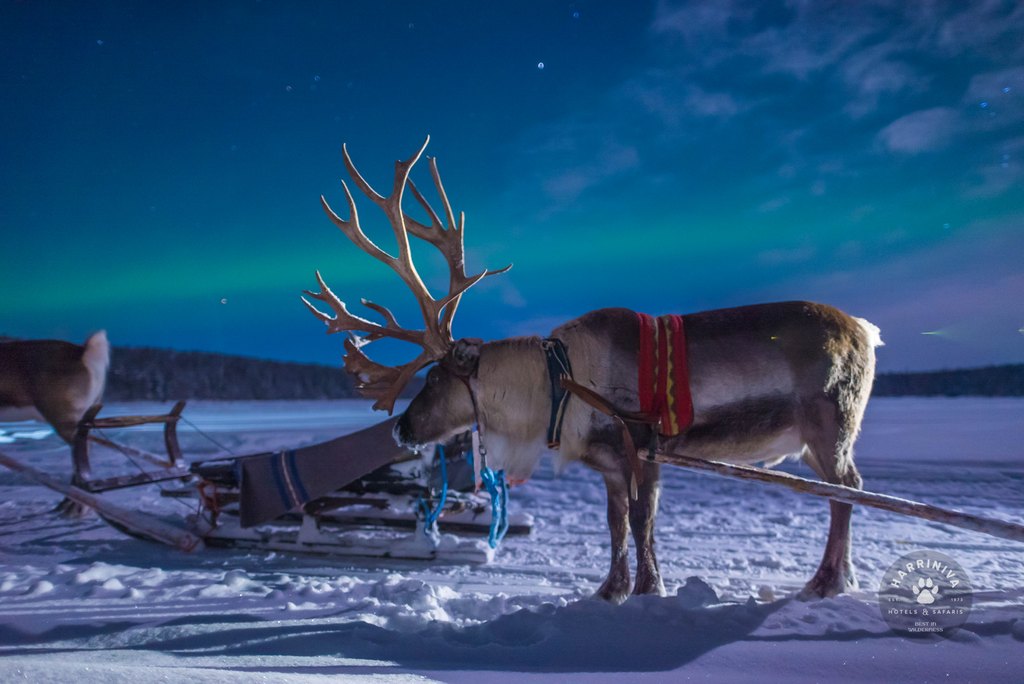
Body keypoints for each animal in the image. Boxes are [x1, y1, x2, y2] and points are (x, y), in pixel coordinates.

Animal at [303, 138, 883, 602]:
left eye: (437, 378)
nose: (400, 428)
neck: (557, 386)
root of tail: (865, 329)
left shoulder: (643, 448)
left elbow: (644, 523)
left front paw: (650, 590)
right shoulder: (608, 464)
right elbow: (616, 525)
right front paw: (611, 590)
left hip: (830, 425)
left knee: (848, 490)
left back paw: (826, 582)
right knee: (845, 492)